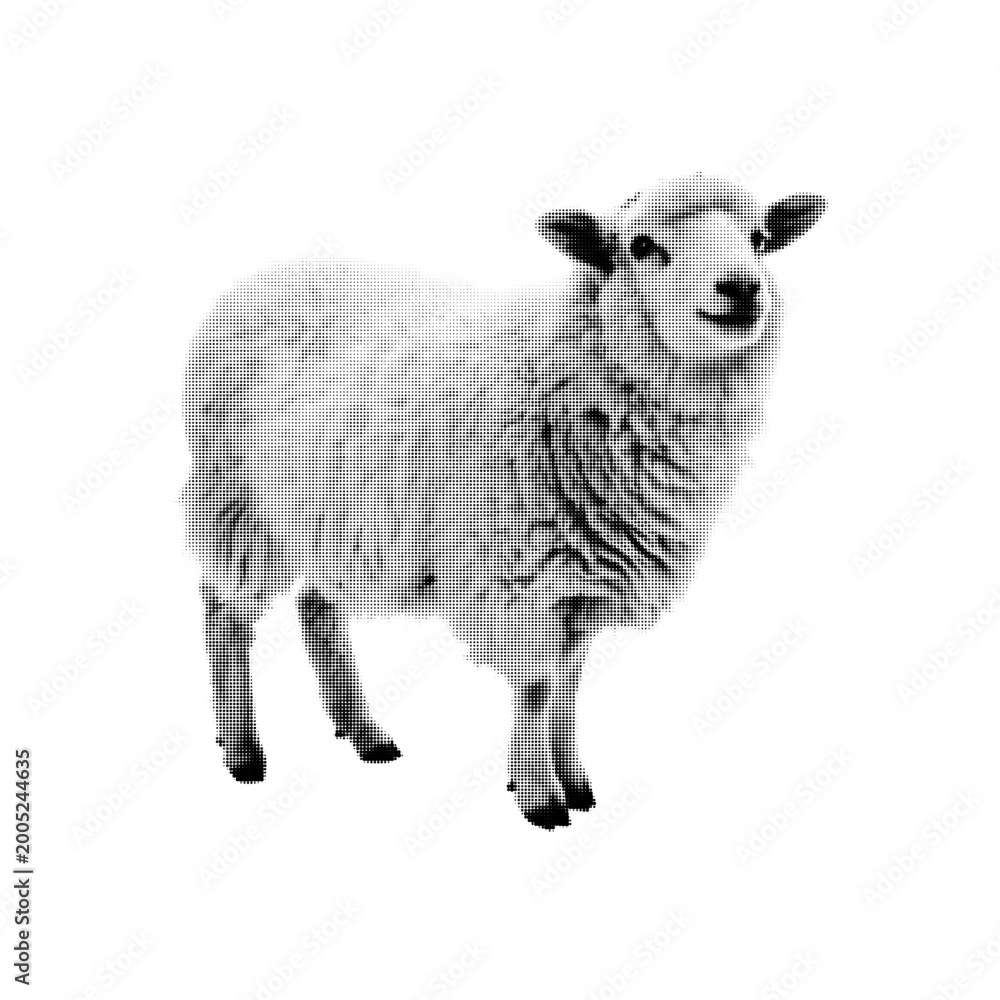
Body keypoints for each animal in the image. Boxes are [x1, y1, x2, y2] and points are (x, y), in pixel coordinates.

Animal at [182, 173, 825, 830]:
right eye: (642, 247)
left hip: (325, 518)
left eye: (762, 239)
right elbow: (537, 689)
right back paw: (242, 750)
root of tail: (280, 268)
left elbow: (567, 686)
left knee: (318, 609)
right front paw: (540, 798)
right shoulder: (518, 575)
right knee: (226, 615)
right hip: (237, 500)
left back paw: (364, 733)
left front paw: (575, 784)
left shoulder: (583, 580)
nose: (742, 289)